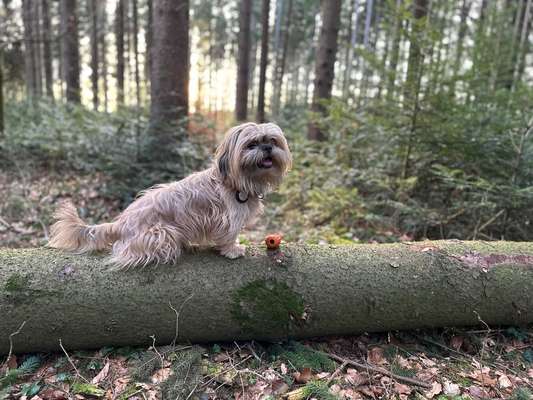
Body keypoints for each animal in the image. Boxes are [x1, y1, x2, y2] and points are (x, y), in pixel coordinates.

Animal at [48, 122, 290, 268]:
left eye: (272, 141)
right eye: (252, 144)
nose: (267, 148)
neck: (234, 182)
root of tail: (120, 223)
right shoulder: (228, 219)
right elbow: (229, 235)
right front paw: (233, 250)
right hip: (163, 232)